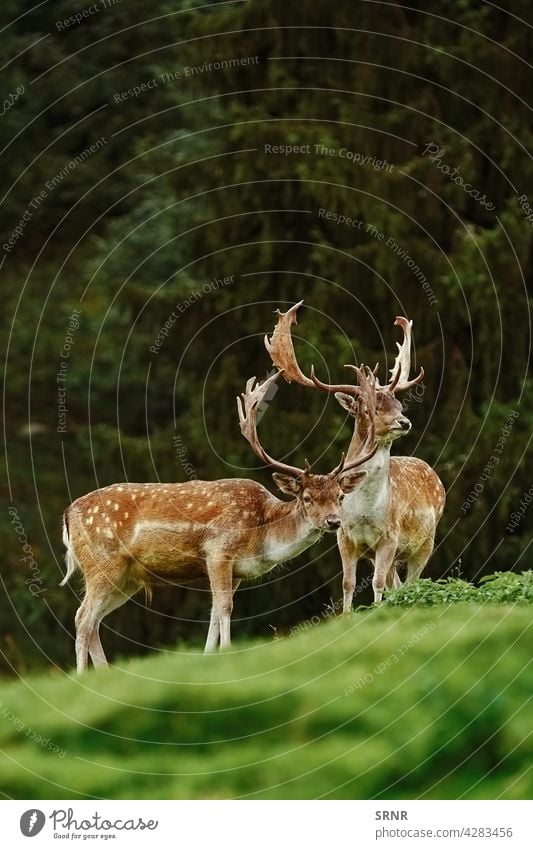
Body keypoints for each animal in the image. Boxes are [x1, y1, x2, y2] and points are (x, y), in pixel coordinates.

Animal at [62, 372, 376, 668]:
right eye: (307, 498)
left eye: (340, 496)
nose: (333, 521)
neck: (261, 532)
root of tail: (67, 516)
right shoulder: (218, 550)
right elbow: (224, 606)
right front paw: (226, 651)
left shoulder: (236, 570)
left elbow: (214, 611)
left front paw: (209, 655)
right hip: (102, 562)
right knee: (82, 617)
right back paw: (82, 676)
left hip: (127, 577)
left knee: (94, 621)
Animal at [264, 302, 444, 608]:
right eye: (369, 408)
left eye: (398, 404)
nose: (405, 422)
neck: (364, 512)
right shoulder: (345, 537)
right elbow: (347, 583)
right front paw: (348, 614)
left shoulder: (390, 536)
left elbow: (377, 583)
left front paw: (378, 611)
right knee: (398, 584)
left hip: (425, 542)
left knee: (411, 582)